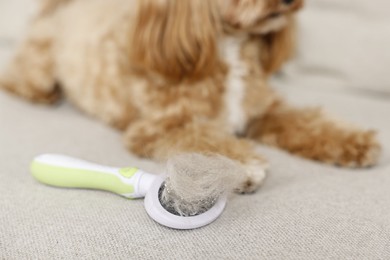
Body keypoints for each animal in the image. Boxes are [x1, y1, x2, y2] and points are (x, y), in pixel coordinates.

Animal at [0, 0, 380, 192]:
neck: (227, 45)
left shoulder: (263, 109)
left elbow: (308, 122)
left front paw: (354, 141)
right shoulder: (162, 126)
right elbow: (204, 136)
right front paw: (242, 164)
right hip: (39, 66)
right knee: (16, 79)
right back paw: (42, 96)